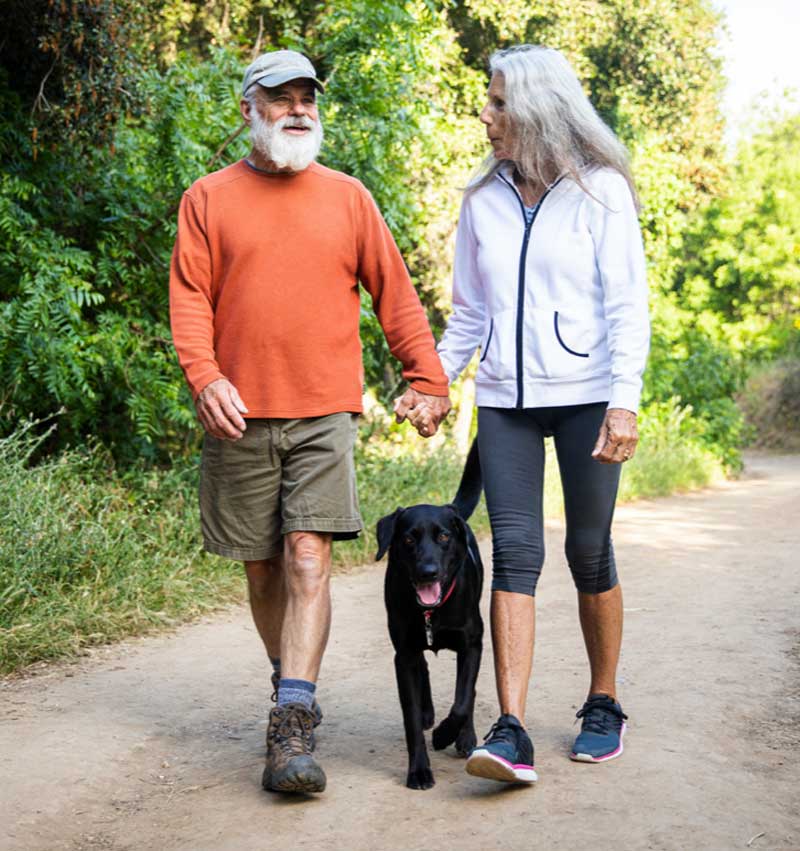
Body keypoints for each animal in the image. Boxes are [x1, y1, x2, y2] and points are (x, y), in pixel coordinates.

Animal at [376, 442, 482, 788]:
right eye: (409, 538)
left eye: (444, 536)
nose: (428, 571)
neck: (432, 612)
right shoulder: (404, 654)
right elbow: (410, 720)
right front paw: (419, 769)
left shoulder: (472, 645)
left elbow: (463, 699)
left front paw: (446, 735)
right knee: (423, 667)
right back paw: (428, 713)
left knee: (468, 692)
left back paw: (465, 737)